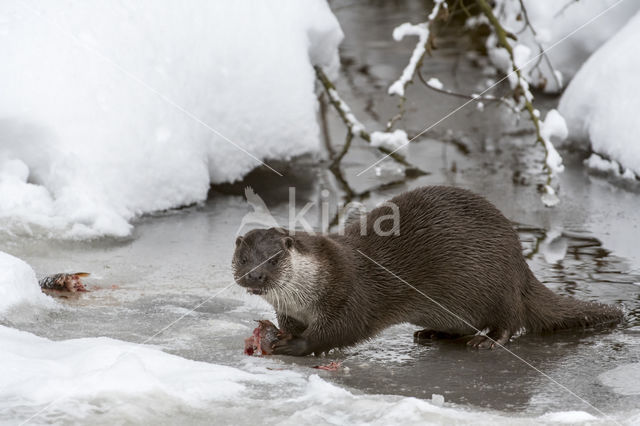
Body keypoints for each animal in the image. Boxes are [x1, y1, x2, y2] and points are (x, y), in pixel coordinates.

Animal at [232, 186, 624, 356]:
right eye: (244, 258)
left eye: (273, 260)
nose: (254, 277)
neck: (308, 295)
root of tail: (520, 264)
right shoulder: (290, 310)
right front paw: (278, 334)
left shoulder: (351, 293)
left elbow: (340, 331)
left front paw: (293, 344)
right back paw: (433, 333)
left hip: (497, 285)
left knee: (511, 319)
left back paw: (487, 341)